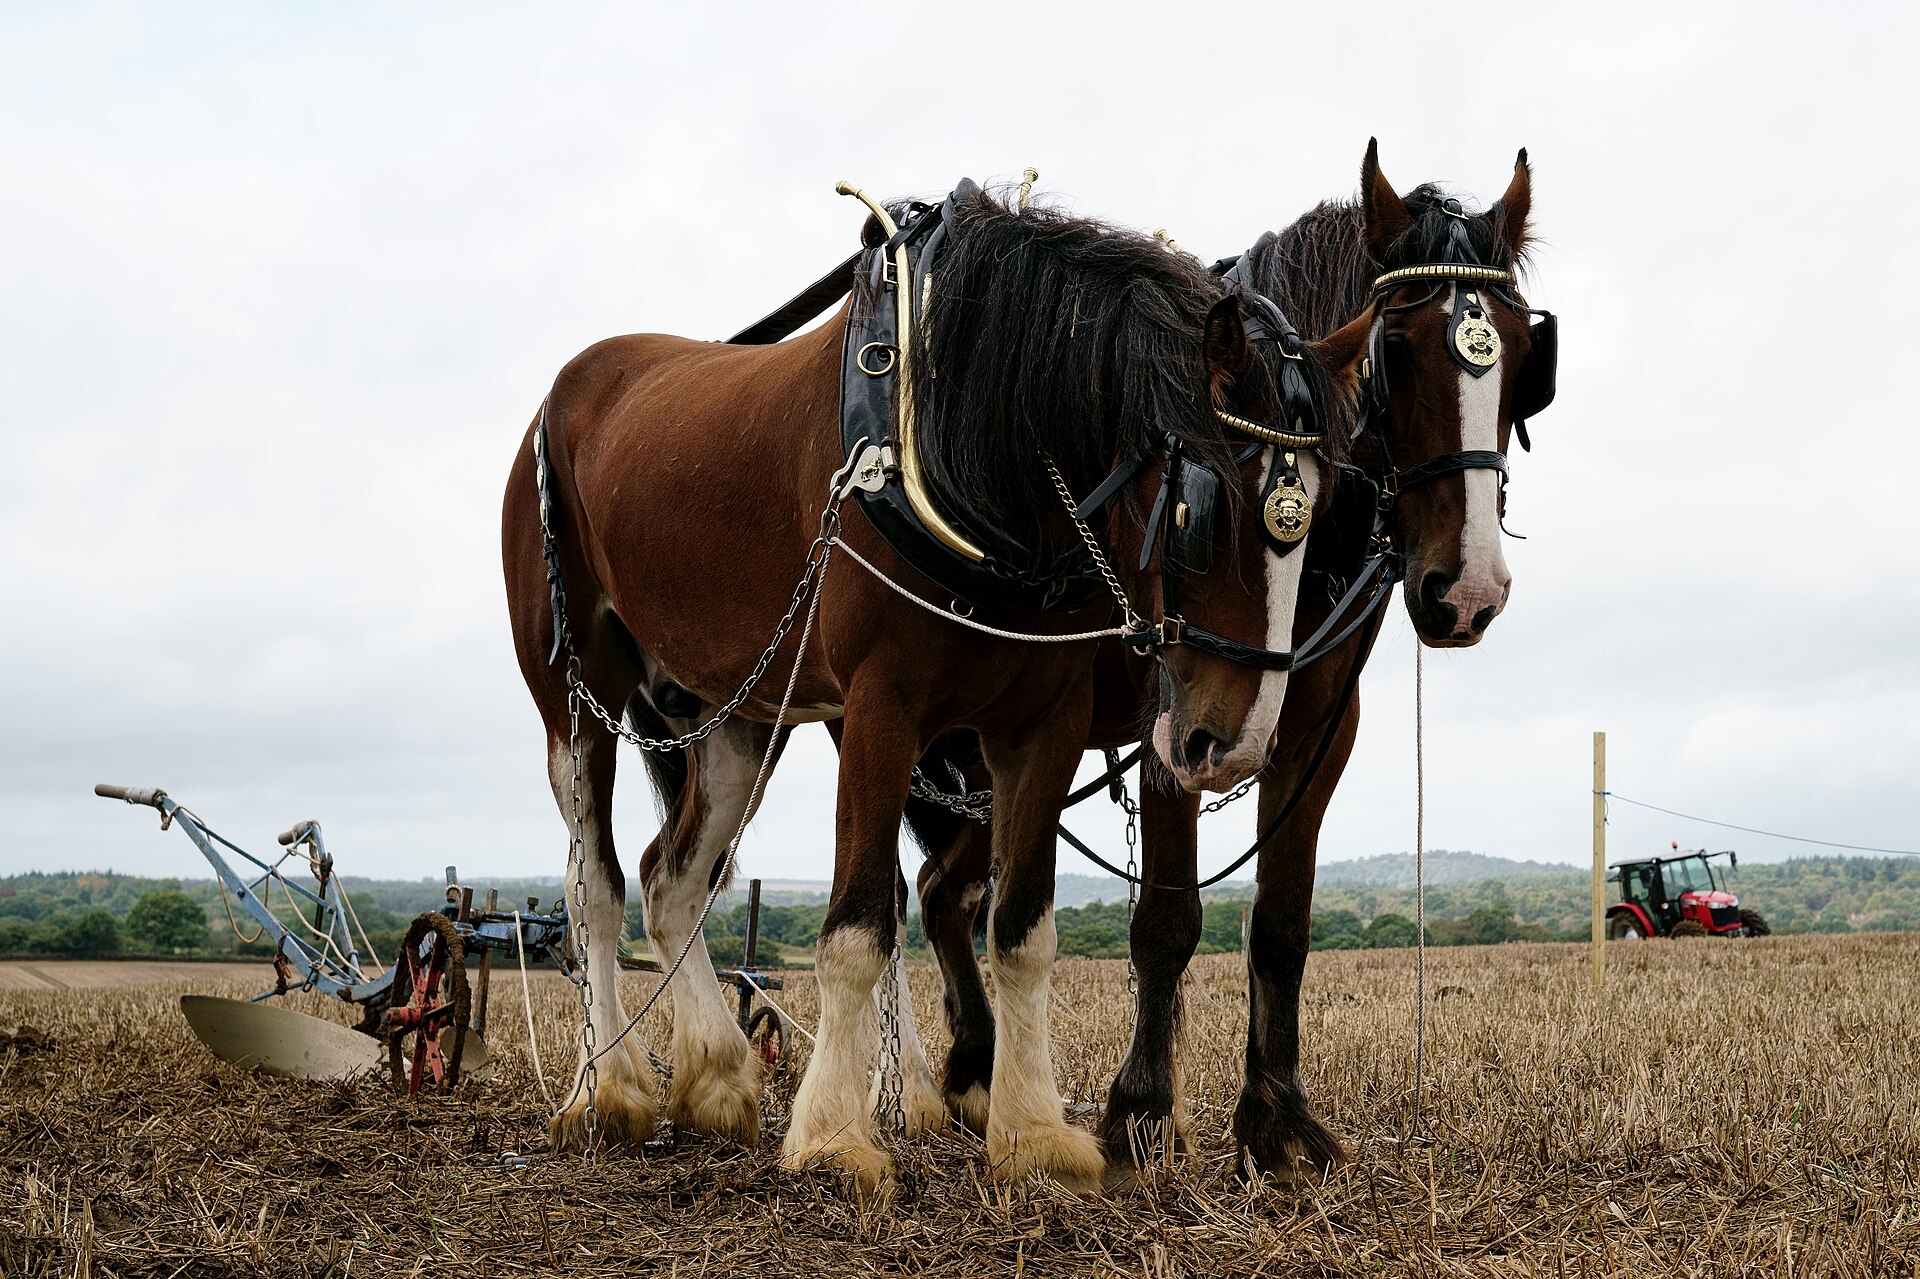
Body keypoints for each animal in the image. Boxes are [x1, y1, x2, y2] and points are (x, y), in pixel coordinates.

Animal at [501, 180, 1368, 1191]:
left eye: (1323, 503)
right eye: (1200, 511)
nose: (1233, 743)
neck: (973, 444)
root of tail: (564, 396)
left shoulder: (1044, 722)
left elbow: (1022, 926)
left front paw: (1032, 1131)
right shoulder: (883, 709)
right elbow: (858, 926)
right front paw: (835, 1138)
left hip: (739, 713)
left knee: (671, 879)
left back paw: (715, 1078)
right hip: (573, 695)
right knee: (592, 884)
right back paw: (606, 1090)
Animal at [903, 142, 1556, 1177]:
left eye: (1530, 357)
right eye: (1396, 351)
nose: (1468, 591)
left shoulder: (1318, 722)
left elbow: (1282, 922)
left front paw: (1277, 1118)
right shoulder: (1173, 715)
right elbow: (1166, 921)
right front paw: (1139, 1113)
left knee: (941, 892)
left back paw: (977, 1074)